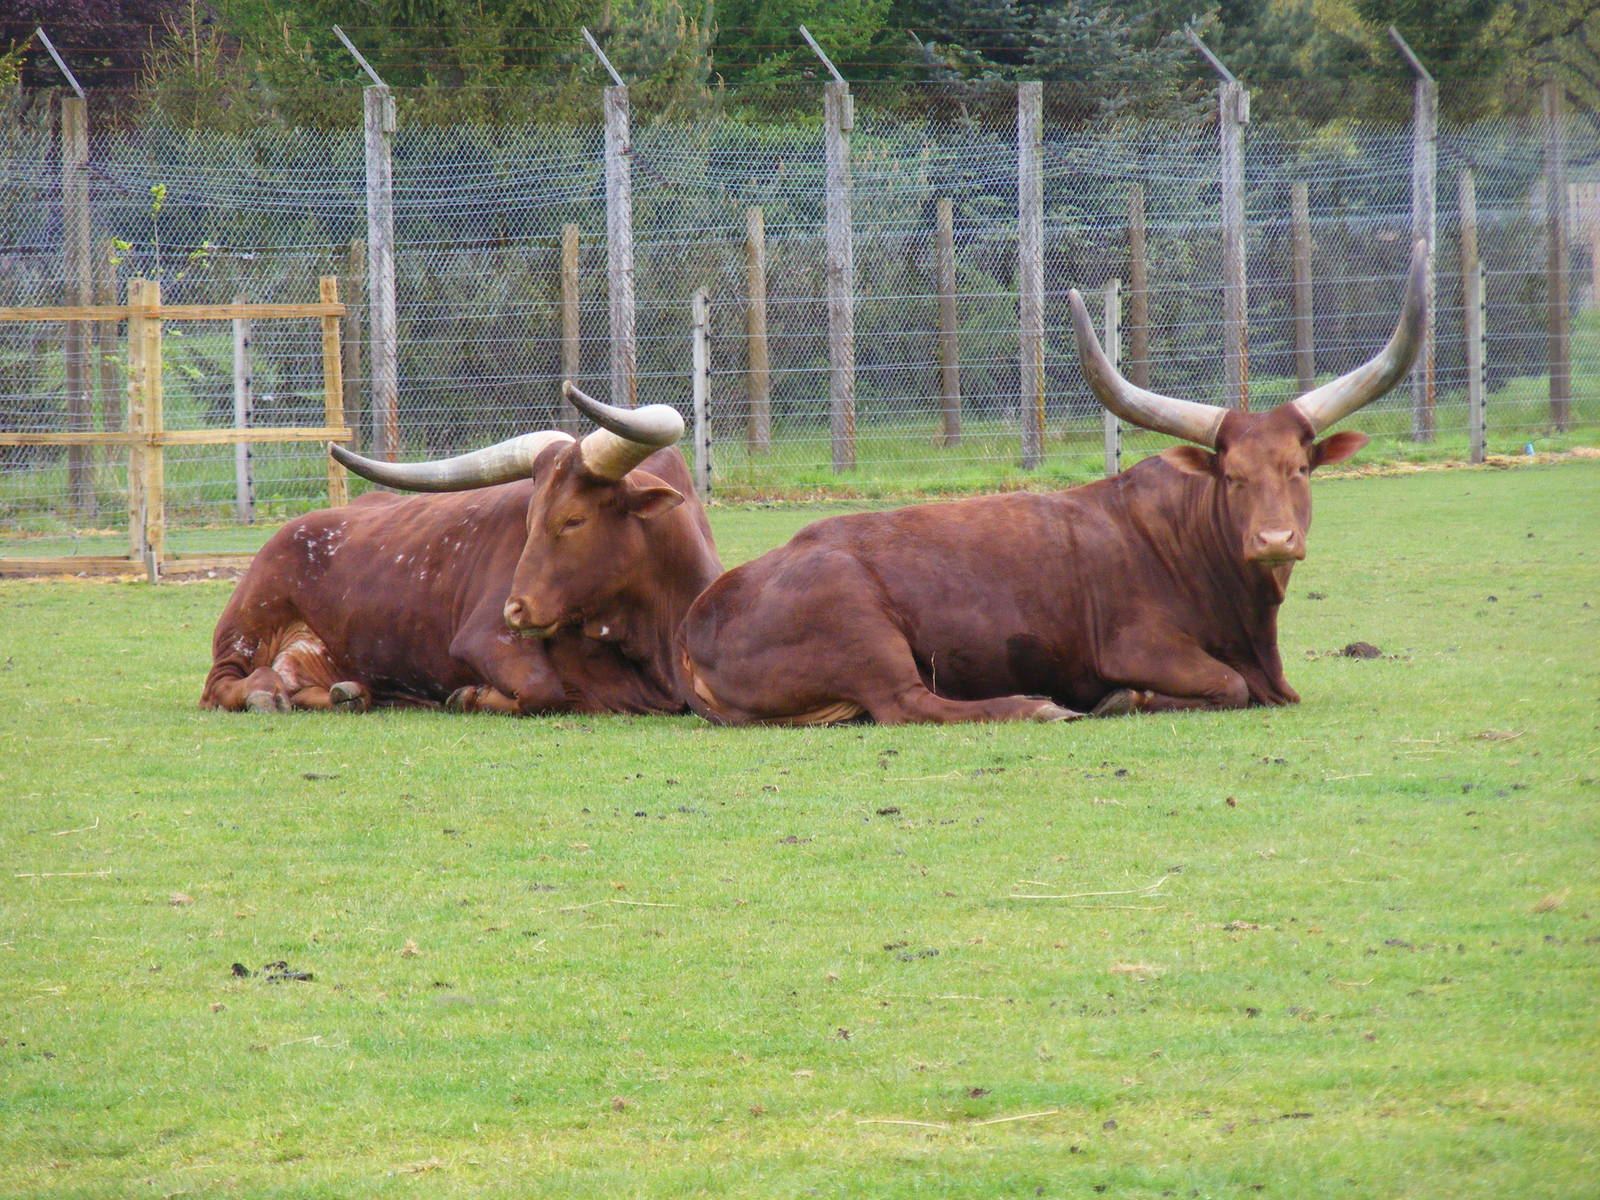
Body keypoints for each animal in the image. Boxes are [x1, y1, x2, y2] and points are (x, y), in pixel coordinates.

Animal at [201, 383, 723, 716]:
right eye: (528, 519)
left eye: (574, 519)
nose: (515, 609)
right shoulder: (483, 639)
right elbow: (542, 689)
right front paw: (469, 696)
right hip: (248, 624)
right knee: (220, 686)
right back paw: (263, 692)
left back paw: (346, 693)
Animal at [678, 242, 1427, 726]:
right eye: (1233, 478)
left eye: (1299, 470)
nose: (1275, 539)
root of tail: (699, 619)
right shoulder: (1139, 645)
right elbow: (1228, 685)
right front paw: (1126, 699)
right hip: (859, 627)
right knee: (907, 703)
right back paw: (1039, 706)